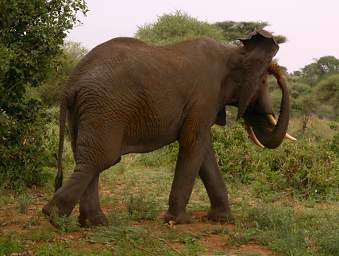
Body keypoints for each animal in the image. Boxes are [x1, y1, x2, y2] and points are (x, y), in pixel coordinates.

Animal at [43, 29, 294, 227]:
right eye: (263, 82)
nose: (277, 70)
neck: (233, 51)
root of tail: (71, 83)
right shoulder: (205, 95)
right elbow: (193, 142)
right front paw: (179, 221)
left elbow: (204, 149)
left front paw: (223, 219)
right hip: (105, 108)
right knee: (100, 158)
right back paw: (54, 218)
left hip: (88, 110)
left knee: (87, 158)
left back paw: (94, 224)